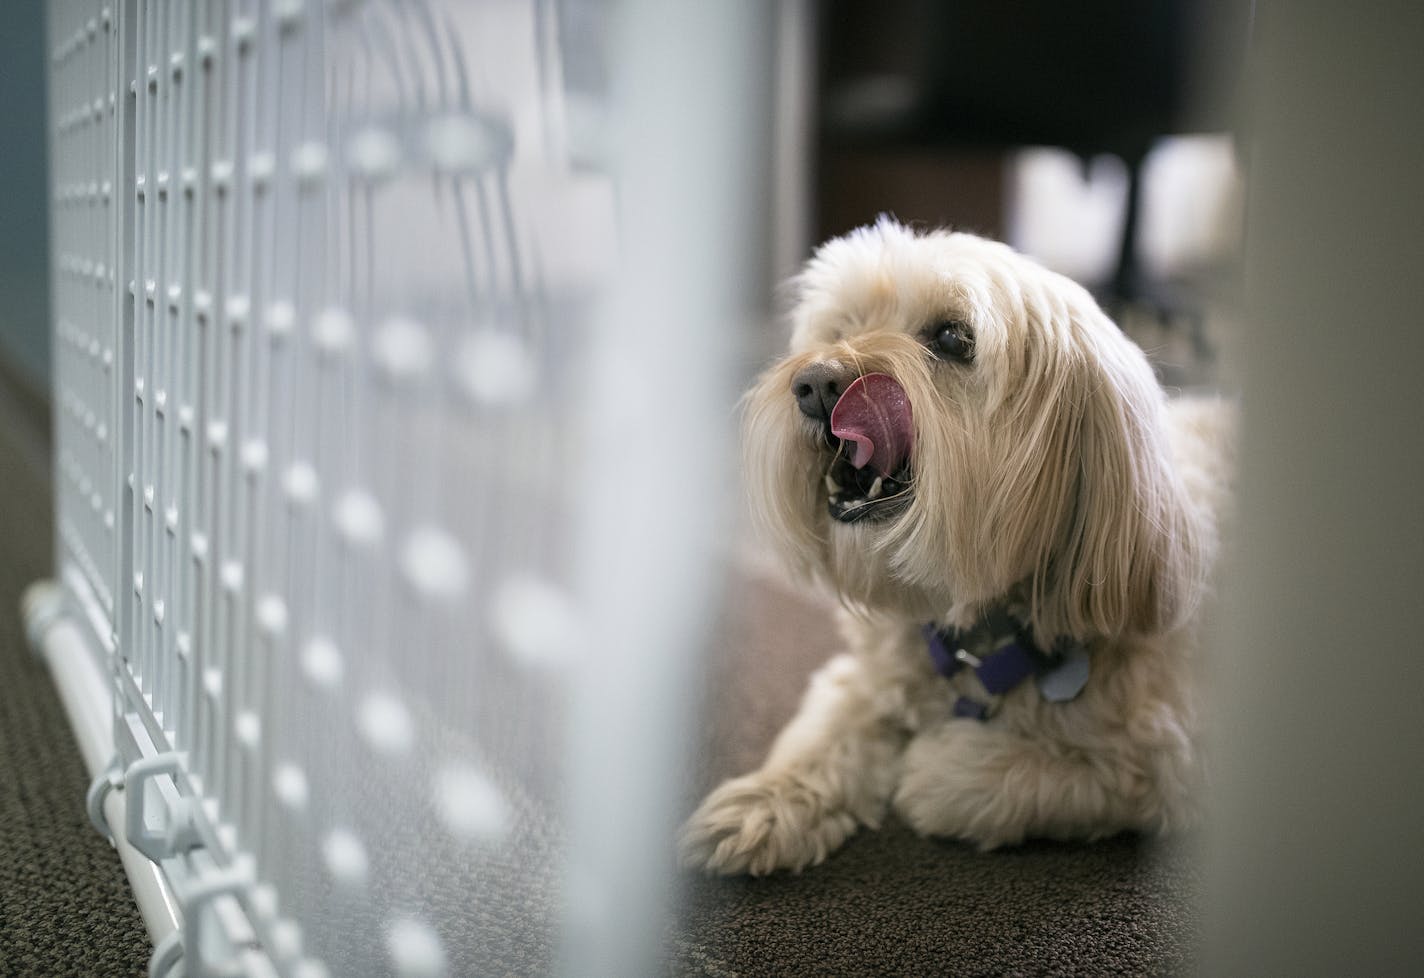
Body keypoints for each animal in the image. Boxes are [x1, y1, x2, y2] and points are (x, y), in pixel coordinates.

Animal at [683, 222, 1230, 882]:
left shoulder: (1176, 759)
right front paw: (768, 800)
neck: (976, 632)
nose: (812, 384)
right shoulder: (864, 677)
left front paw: (938, 766)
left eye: (950, 338)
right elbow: (829, 728)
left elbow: (1048, 774)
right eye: (841, 328)